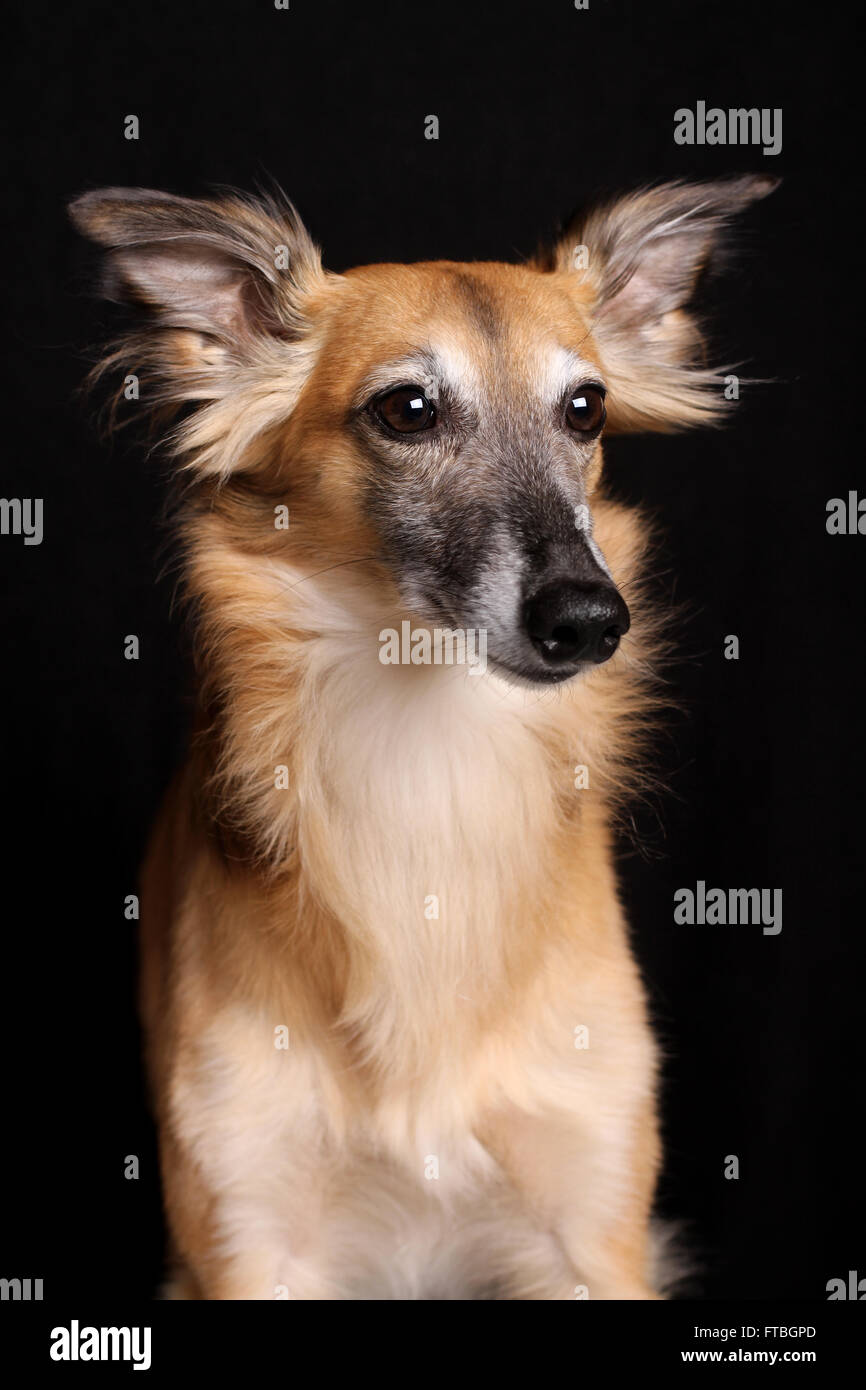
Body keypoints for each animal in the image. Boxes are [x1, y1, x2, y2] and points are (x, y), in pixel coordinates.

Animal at [71, 176, 778, 1301]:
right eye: (407, 409)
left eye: (585, 408)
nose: (587, 618)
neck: (428, 759)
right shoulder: (248, 1231)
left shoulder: (591, 1227)